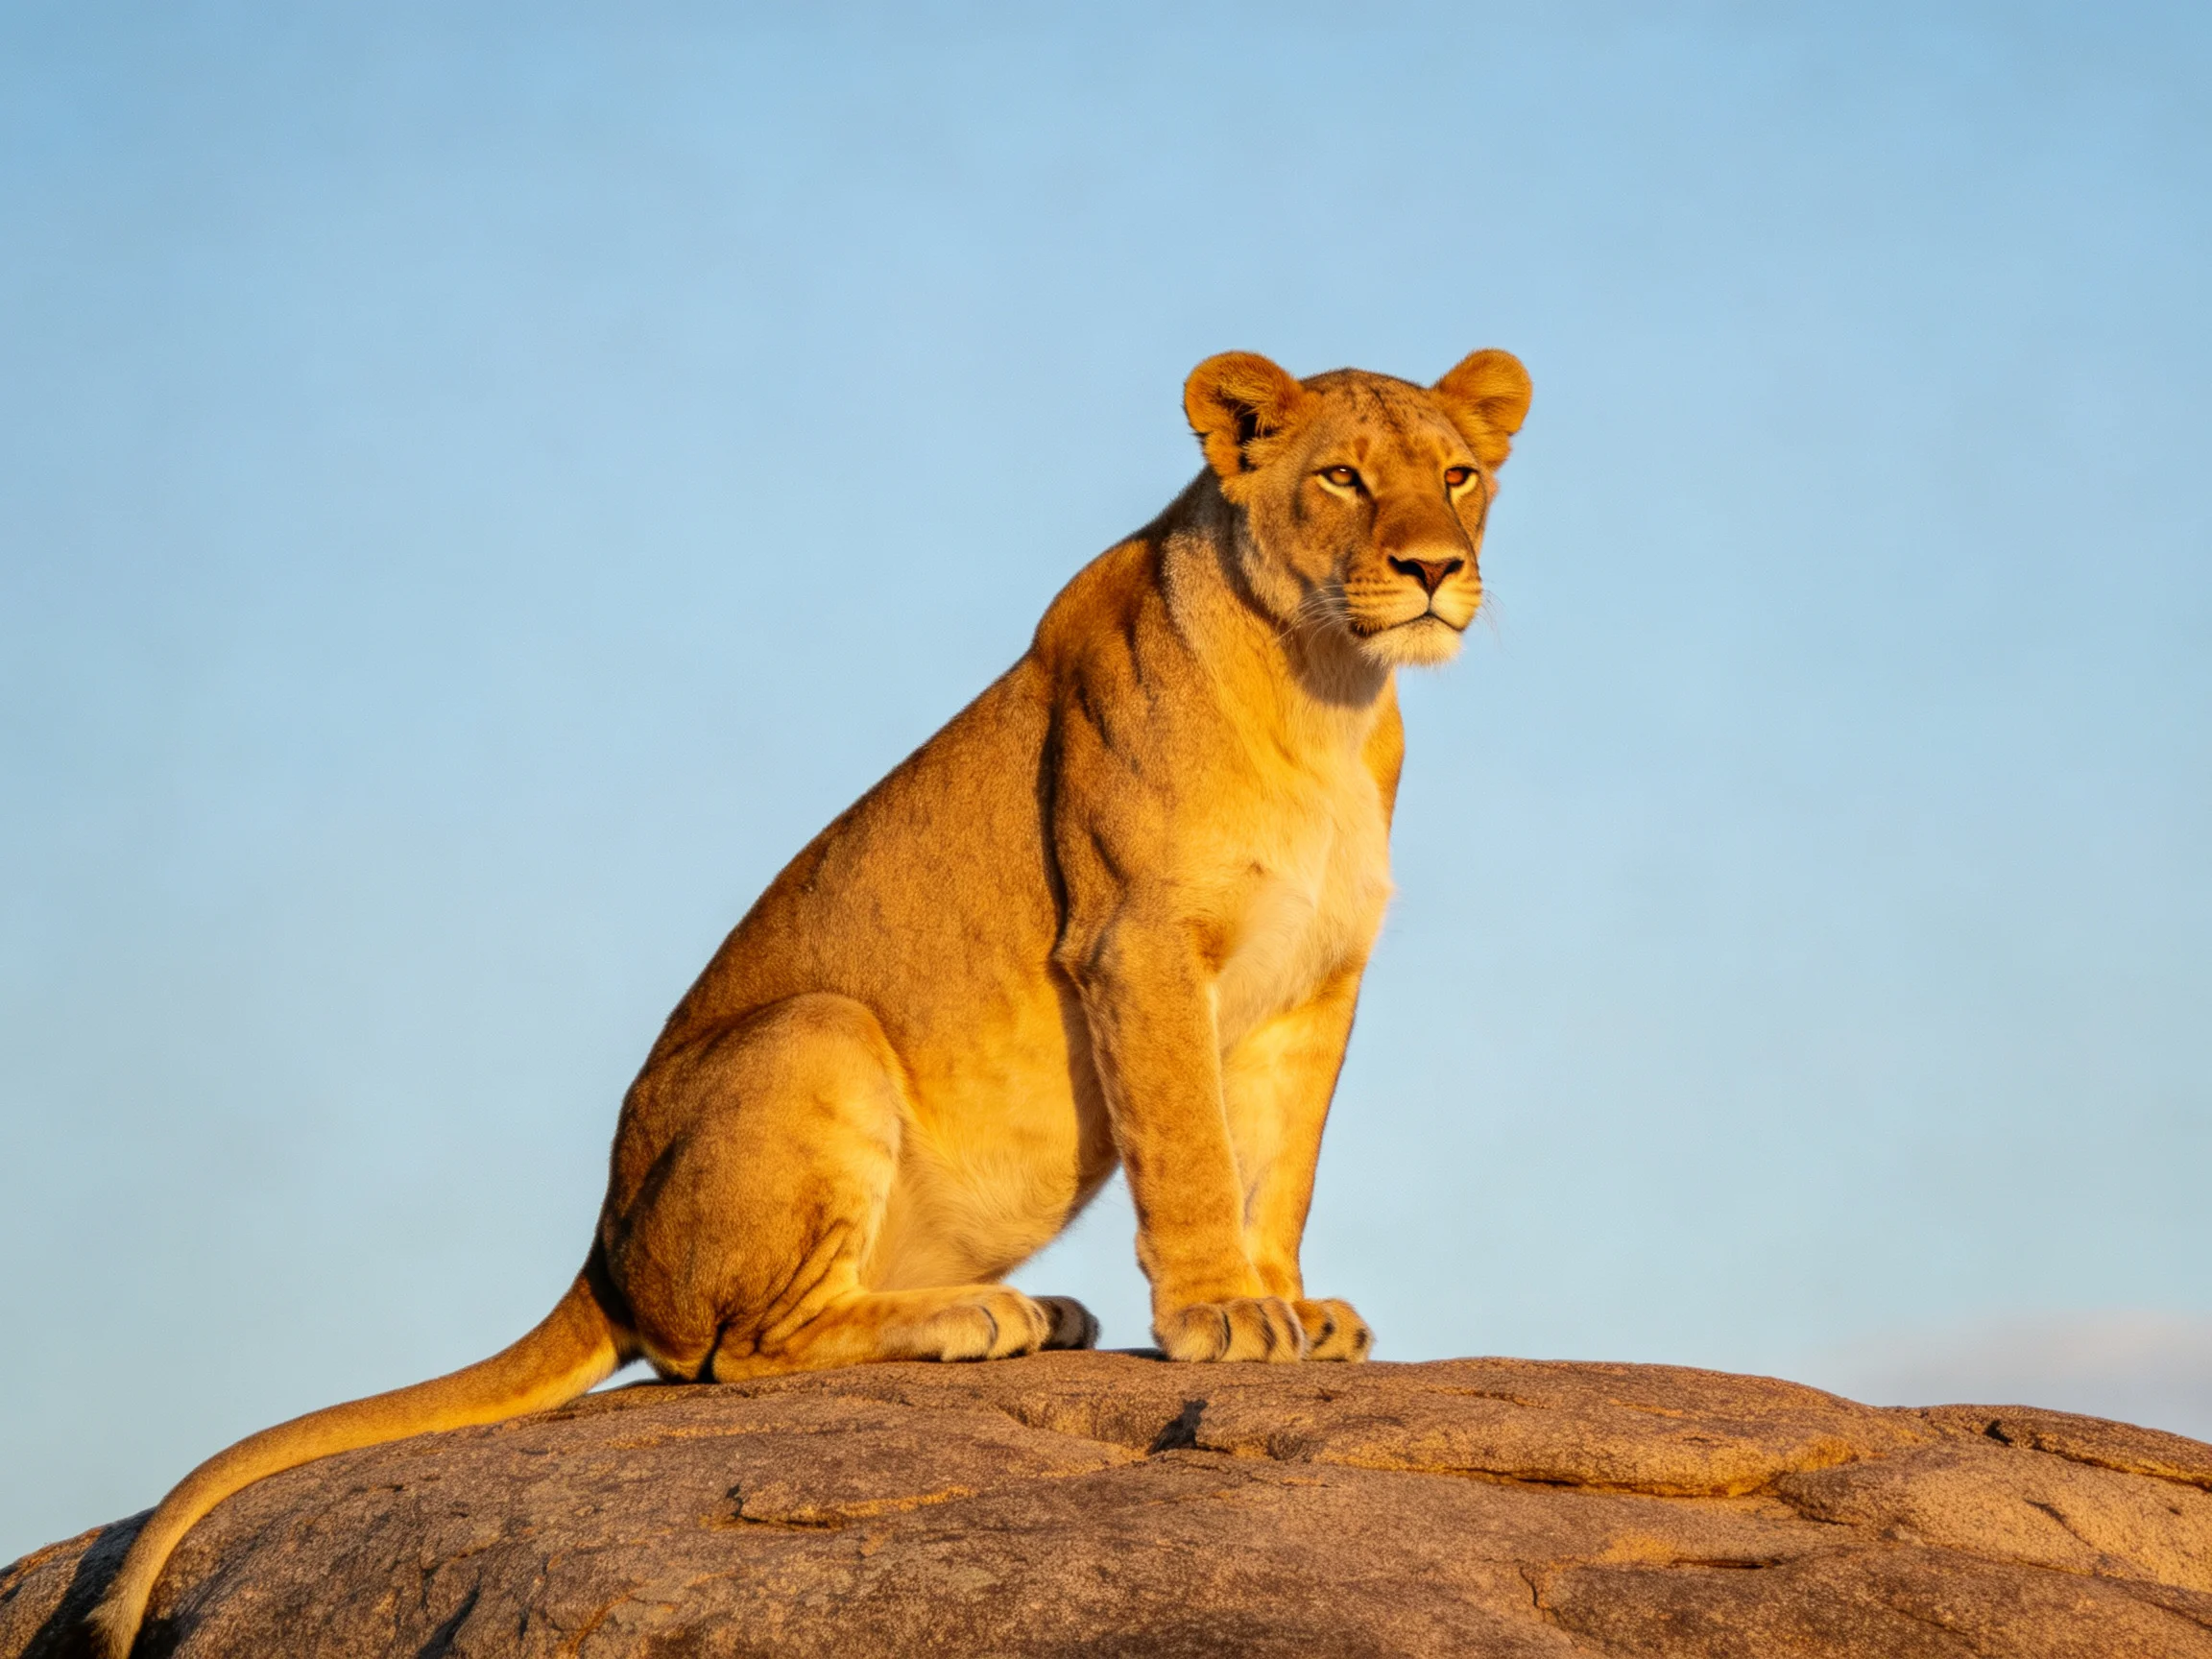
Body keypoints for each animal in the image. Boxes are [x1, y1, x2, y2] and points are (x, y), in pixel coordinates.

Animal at [89, 346, 1532, 1656]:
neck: (1328, 694)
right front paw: (1221, 1316)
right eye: (1343, 478)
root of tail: (601, 1249)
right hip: (819, 1029)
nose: (1433, 569)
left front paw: (1293, 1304)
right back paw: (987, 1318)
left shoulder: (1317, 985)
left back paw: (1041, 1317)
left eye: (1458, 476)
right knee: (735, 1354)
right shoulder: (1137, 943)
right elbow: (1190, 1150)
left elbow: (1278, 1166)